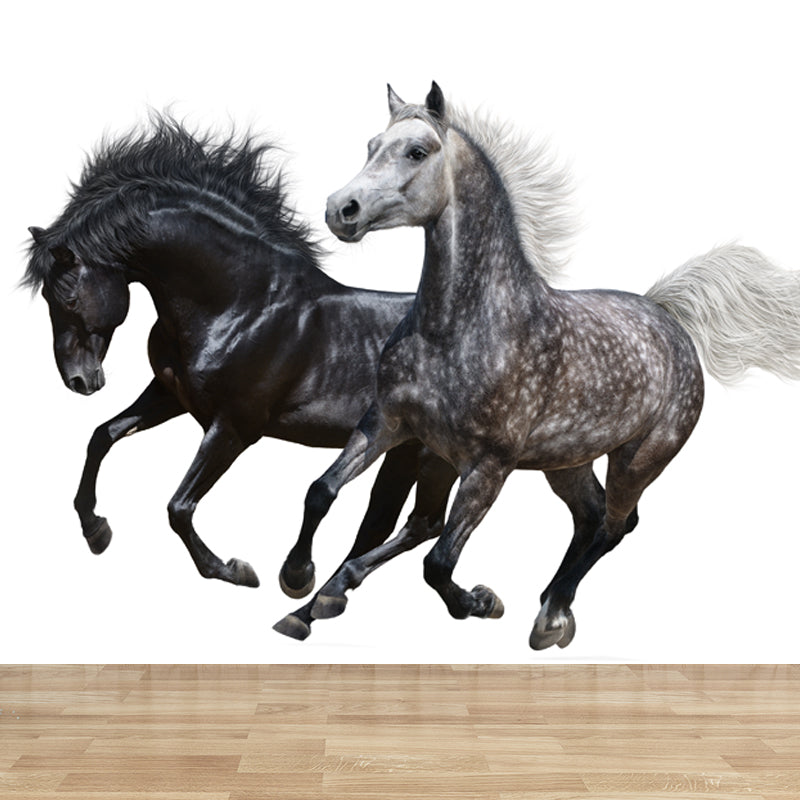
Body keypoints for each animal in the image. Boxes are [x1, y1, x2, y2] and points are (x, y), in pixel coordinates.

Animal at [23, 114, 467, 600]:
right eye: (46, 297)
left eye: (67, 298)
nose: (80, 381)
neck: (241, 305)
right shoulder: (171, 396)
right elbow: (102, 436)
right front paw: (95, 530)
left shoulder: (234, 426)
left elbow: (179, 506)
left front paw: (234, 570)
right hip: (402, 452)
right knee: (391, 523)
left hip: (433, 456)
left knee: (419, 524)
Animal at [274, 83, 800, 650]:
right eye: (372, 145)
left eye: (417, 151)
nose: (341, 210)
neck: (458, 327)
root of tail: (667, 315)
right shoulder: (389, 424)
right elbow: (323, 492)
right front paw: (300, 584)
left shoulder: (489, 465)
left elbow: (438, 564)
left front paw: (481, 602)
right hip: (564, 461)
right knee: (581, 517)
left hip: (639, 459)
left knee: (615, 523)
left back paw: (552, 615)